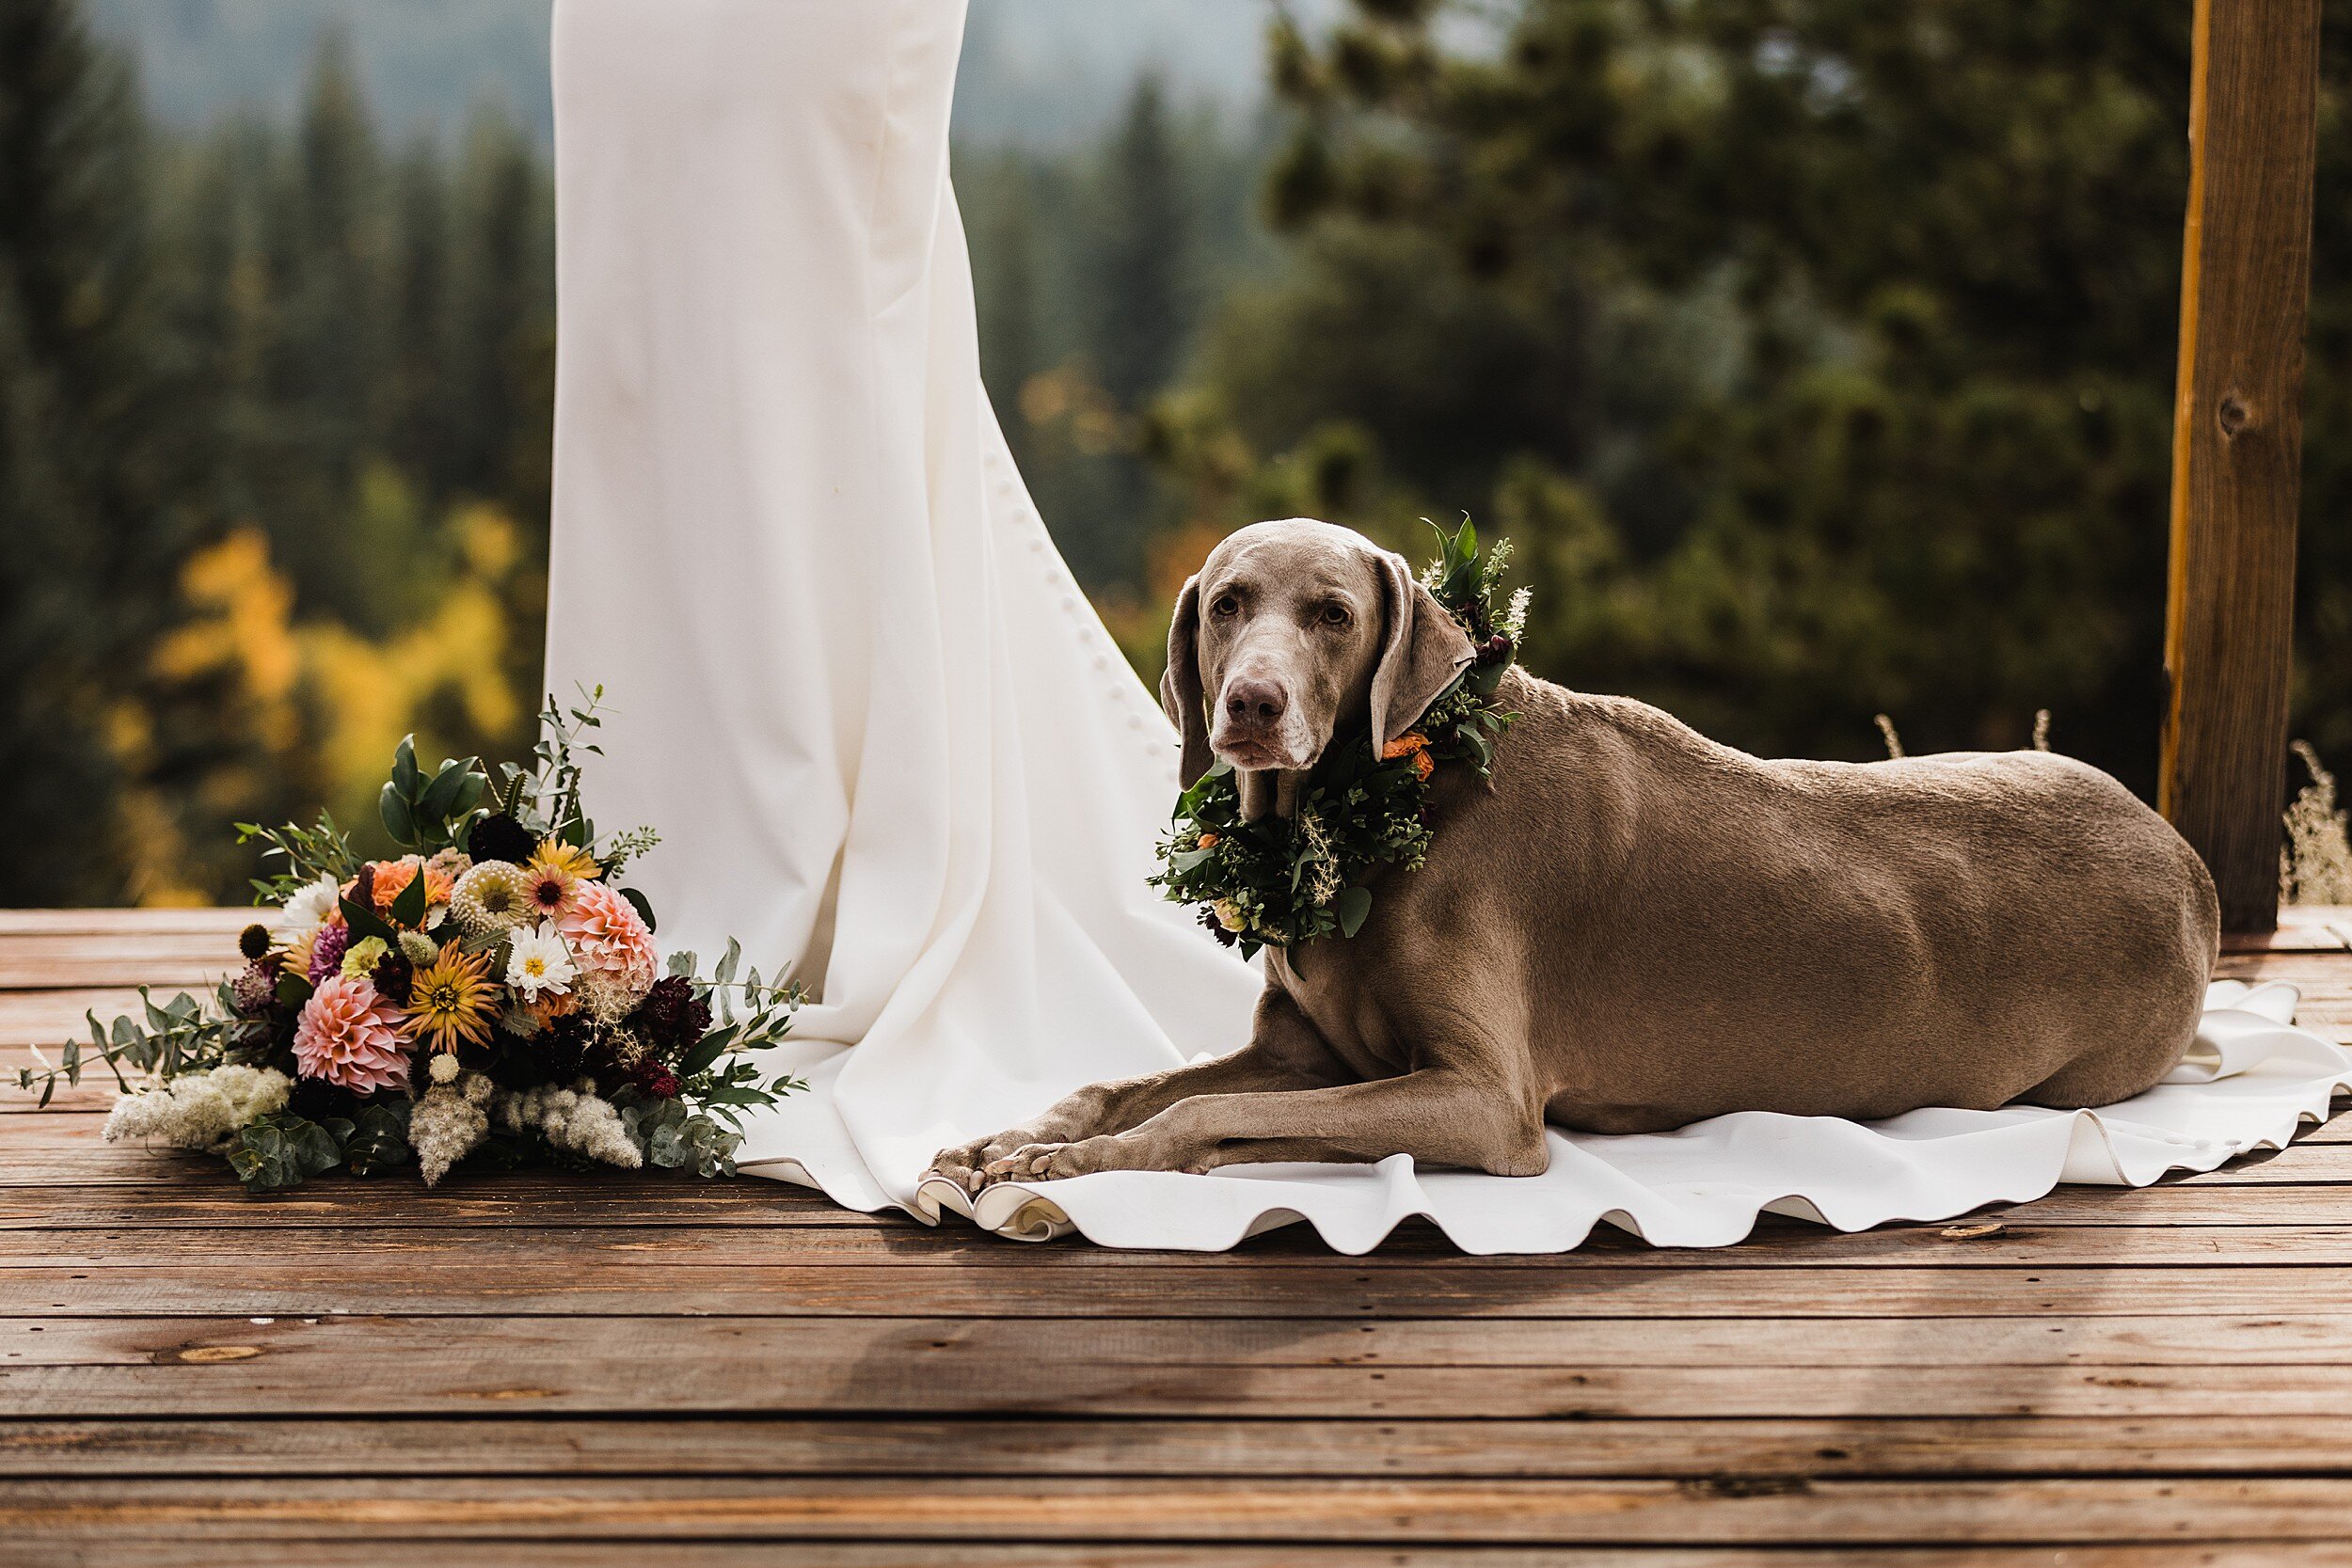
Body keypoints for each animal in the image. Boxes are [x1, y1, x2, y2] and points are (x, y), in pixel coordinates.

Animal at [927, 515, 2211, 1189]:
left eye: (1334, 614)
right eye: (1229, 602)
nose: (1249, 705)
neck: (1395, 803)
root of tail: (2182, 855)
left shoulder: (1485, 1100)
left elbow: (1199, 1114)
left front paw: (1066, 1169)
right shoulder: (1304, 1051)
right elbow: (1127, 1082)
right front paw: (1011, 1135)